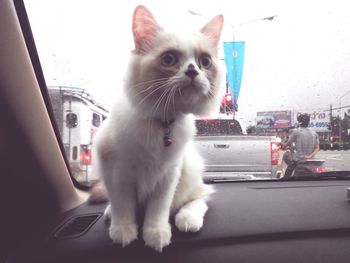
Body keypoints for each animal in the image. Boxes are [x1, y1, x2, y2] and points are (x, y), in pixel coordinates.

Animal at [92, 5, 224, 253]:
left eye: (204, 62)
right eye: (169, 59)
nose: (193, 72)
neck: (163, 123)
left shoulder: (168, 174)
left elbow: (158, 210)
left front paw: (156, 234)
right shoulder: (118, 172)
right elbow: (123, 206)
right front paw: (123, 231)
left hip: (189, 169)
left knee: (201, 197)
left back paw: (188, 219)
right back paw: (109, 214)